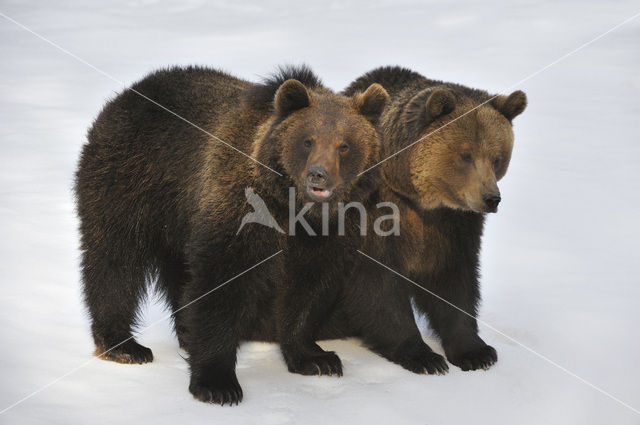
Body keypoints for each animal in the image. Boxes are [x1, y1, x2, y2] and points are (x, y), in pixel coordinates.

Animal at [77, 63, 392, 404]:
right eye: (308, 141)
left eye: (344, 145)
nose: (317, 175)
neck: (294, 209)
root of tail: (130, 91)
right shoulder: (239, 209)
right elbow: (222, 282)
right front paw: (217, 383)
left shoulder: (329, 232)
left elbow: (309, 288)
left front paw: (317, 358)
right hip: (130, 179)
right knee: (115, 259)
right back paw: (123, 345)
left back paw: (183, 333)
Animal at [332, 65, 528, 372]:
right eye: (465, 155)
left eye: (497, 157)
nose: (491, 198)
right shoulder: (376, 214)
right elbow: (377, 283)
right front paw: (423, 356)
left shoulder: (455, 225)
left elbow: (455, 281)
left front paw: (476, 352)